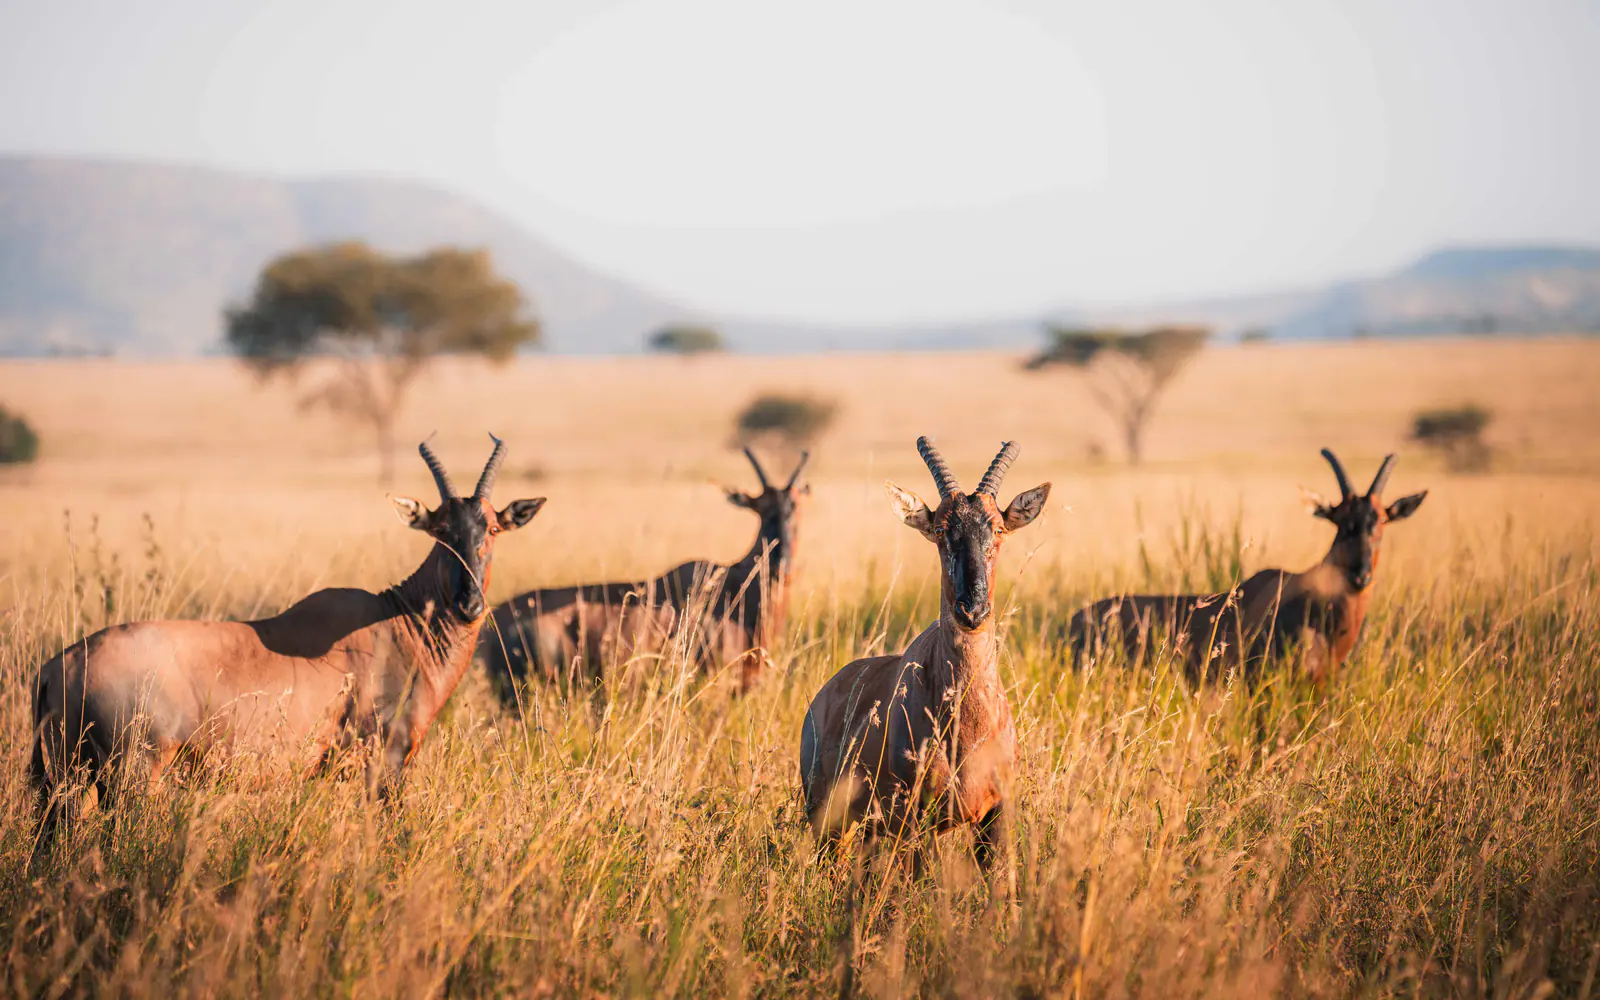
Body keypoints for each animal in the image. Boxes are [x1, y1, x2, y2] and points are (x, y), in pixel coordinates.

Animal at [30, 436, 545, 849]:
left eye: (491, 528)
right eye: (440, 532)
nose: (470, 604)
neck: (397, 618)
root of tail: (61, 665)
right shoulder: (385, 760)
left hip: (65, 778)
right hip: (132, 774)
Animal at [798, 438, 1050, 869]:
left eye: (998, 528)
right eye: (939, 529)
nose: (972, 610)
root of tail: (823, 694)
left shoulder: (996, 816)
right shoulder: (914, 822)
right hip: (829, 820)